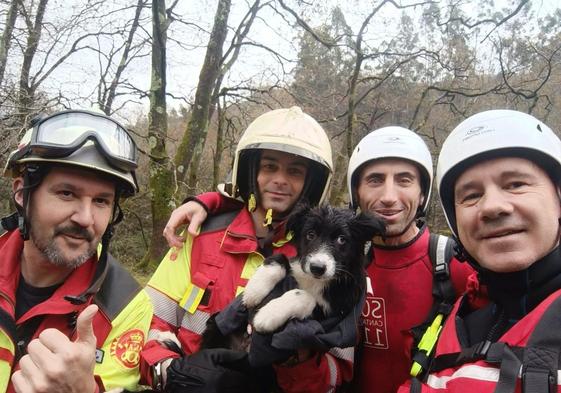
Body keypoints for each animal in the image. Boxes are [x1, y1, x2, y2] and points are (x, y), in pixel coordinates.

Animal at [243, 204, 382, 332]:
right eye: (311, 234)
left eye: (341, 239)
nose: (317, 268)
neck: (314, 280)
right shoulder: (297, 264)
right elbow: (280, 257)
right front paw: (253, 291)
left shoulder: (332, 313)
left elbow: (305, 296)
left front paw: (268, 314)